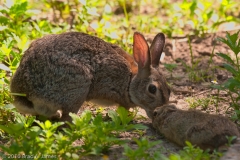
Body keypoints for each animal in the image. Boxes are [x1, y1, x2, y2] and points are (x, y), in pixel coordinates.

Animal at [10, 32, 170, 122]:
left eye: (169, 89)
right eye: (152, 89)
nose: (158, 112)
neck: (130, 81)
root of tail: (24, 93)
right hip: (78, 88)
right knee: (66, 119)